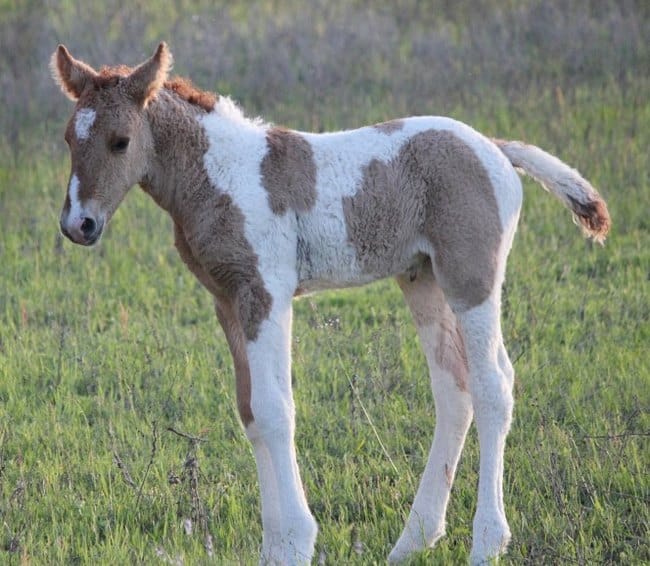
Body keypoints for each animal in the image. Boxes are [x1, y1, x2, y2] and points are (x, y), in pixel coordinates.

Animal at [50, 42, 608, 564]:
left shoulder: (266, 293)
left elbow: (275, 409)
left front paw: (298, 542)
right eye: (69, 139)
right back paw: (414, 539)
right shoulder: (228, 300)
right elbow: (250, 414)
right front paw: (273, 549)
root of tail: (495, 147)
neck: (220, 175)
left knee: (495, 386)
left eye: (120, 142)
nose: (79, 225)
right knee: (455, 388)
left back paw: (487, 542)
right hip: (422, 278)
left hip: (472, 277)